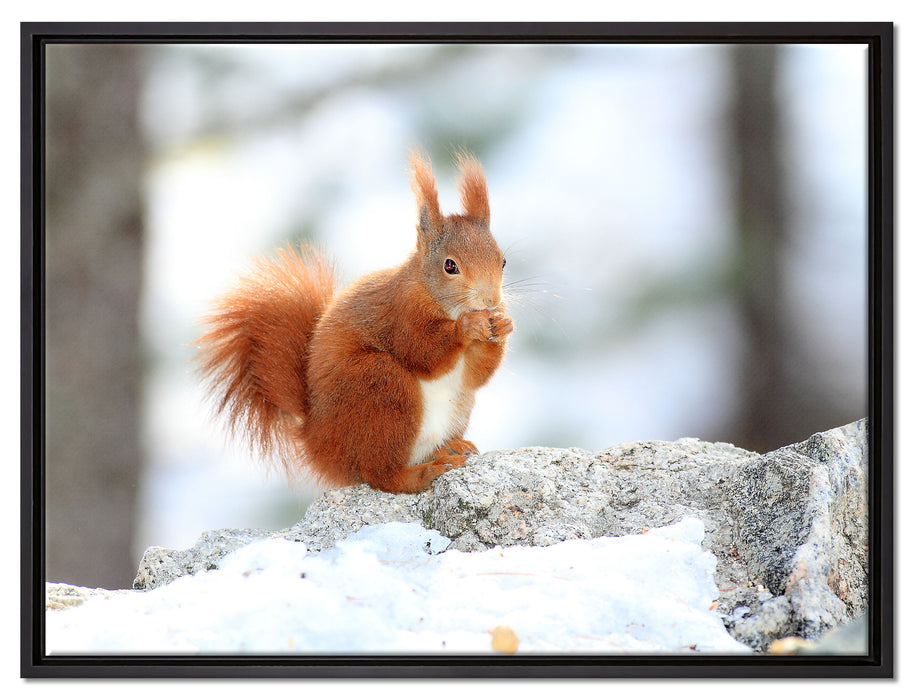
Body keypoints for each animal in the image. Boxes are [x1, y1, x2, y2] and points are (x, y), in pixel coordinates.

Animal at [194, 150, 514, 494]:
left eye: (502, 261)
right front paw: (466, 328)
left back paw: (450, 447)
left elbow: (475, 376)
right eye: (450, 265)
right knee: (381, 474)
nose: (491, 301)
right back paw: (425, 472)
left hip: (453, 407)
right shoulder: (400, 314)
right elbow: (423, 353)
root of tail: (317, 442)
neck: (438, 299)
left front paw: (504, 325)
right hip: (380, 387)